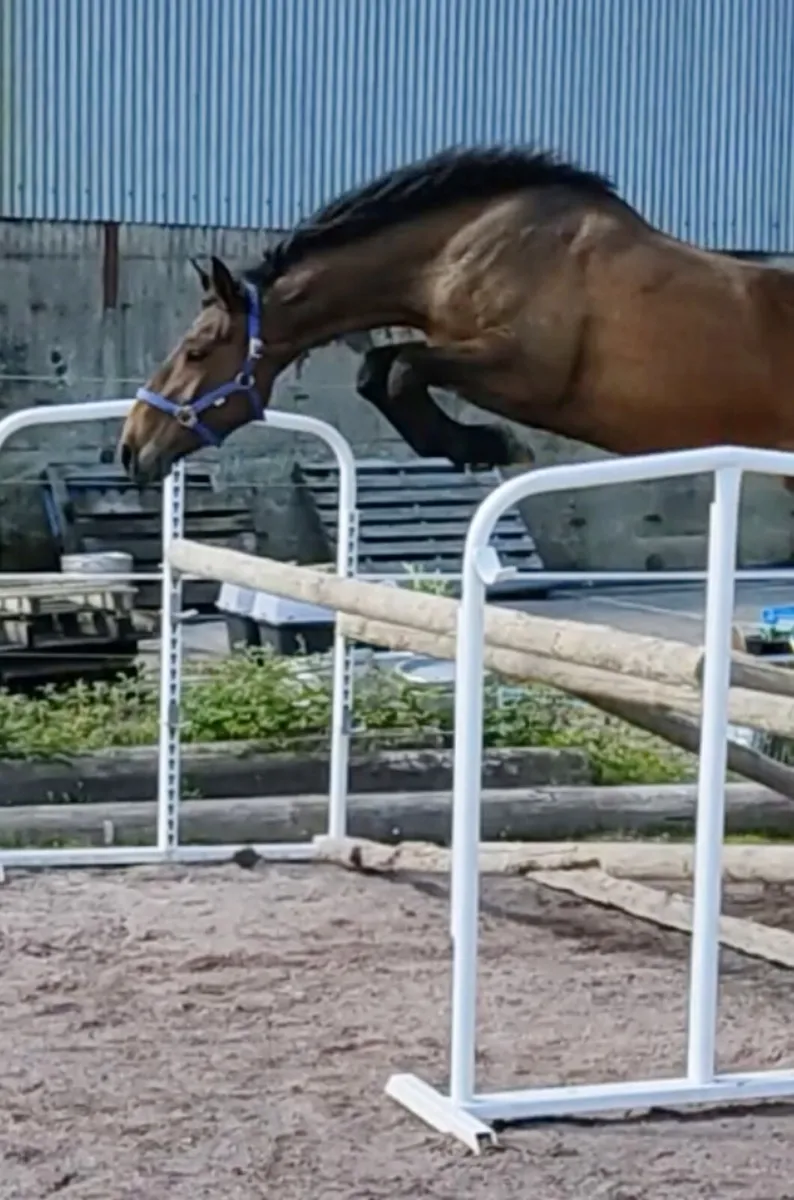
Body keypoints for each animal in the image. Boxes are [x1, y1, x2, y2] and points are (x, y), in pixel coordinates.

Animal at [118, 144, 794, 486]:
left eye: (197, 350)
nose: (130, 450)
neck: (462, 249)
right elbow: (379, 370)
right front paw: (472, 445)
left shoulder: (525, 373)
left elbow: (399, 371)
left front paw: (493, 444)